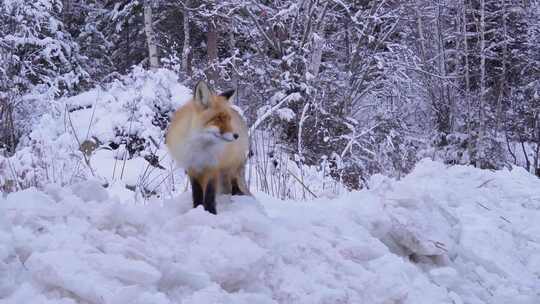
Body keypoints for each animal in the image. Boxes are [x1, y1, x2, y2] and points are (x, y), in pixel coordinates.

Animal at [167, 81, 251, 214]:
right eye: (219, 118)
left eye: (228, 119)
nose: (236, 135)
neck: (200, 149)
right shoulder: (192, 168)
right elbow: (197, 193)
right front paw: (197, 209)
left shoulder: (213, 167)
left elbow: (210, 194)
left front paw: (211, 212)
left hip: (232, 167)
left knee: (234, 184)